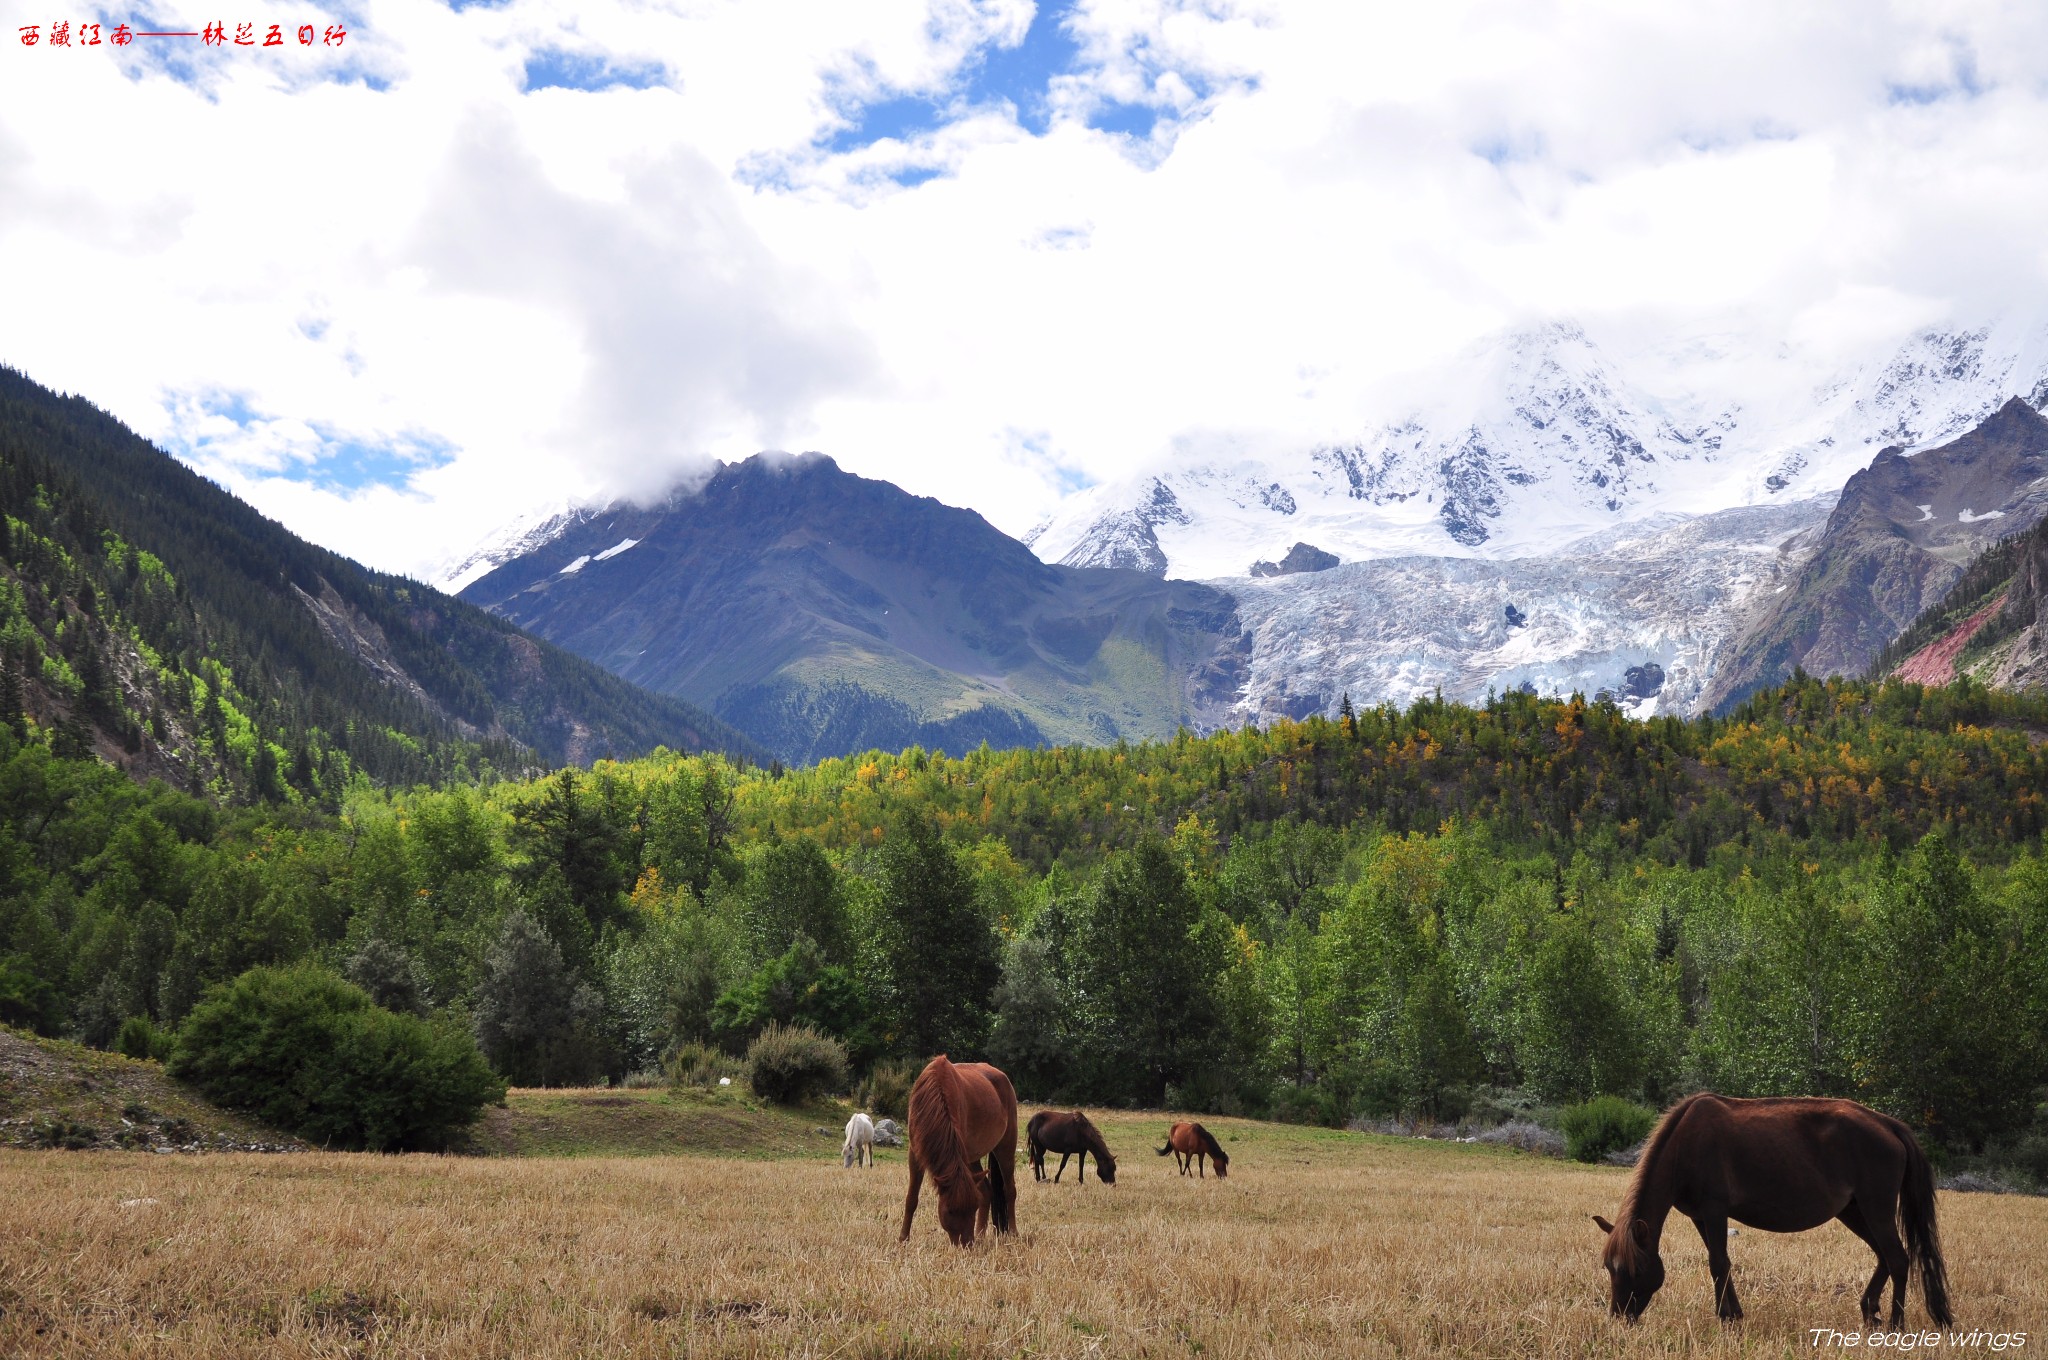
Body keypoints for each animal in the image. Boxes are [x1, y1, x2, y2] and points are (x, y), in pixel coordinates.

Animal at [901, 1056, 1019, 1245]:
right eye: (950, 1210)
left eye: (973, 1208)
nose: (967, 1243)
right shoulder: (915, 1153)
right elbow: (911, 1198)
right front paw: (903, 1239)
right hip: (973, 1158)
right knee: (986, 1190)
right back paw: (980, 1234)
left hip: (1005, 1148)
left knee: (1010, 1190)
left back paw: (1013, 1232)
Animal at [1589, 1097, 1941, 1327]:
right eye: (1608, 1267)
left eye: (1635, 1269)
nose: (1620, 1318)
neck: (1685, 1145)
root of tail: (1888, 1125)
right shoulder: (1700, 1216)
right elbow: (1722, 1263)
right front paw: (1734, 1314)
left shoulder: (1715, 1210)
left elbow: (1718, 1263)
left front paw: (1725, 1319)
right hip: (1854, 1212)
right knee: (1884, 1257)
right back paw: (1870, 1311)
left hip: (1875, 1208)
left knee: (1897, 1259)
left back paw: (1896, 1324)